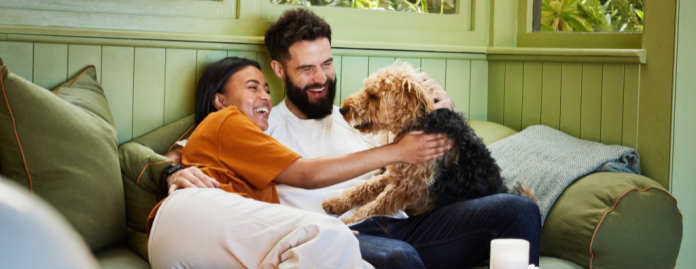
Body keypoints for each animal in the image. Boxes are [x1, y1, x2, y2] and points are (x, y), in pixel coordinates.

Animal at [320, 61, 540, 223]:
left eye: (373, 95)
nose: (342, 109)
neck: (418, 122)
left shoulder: (406, 186)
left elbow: (374, 206)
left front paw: (348, 222)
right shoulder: (397, 173)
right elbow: (363, 188)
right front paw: (336, 203)